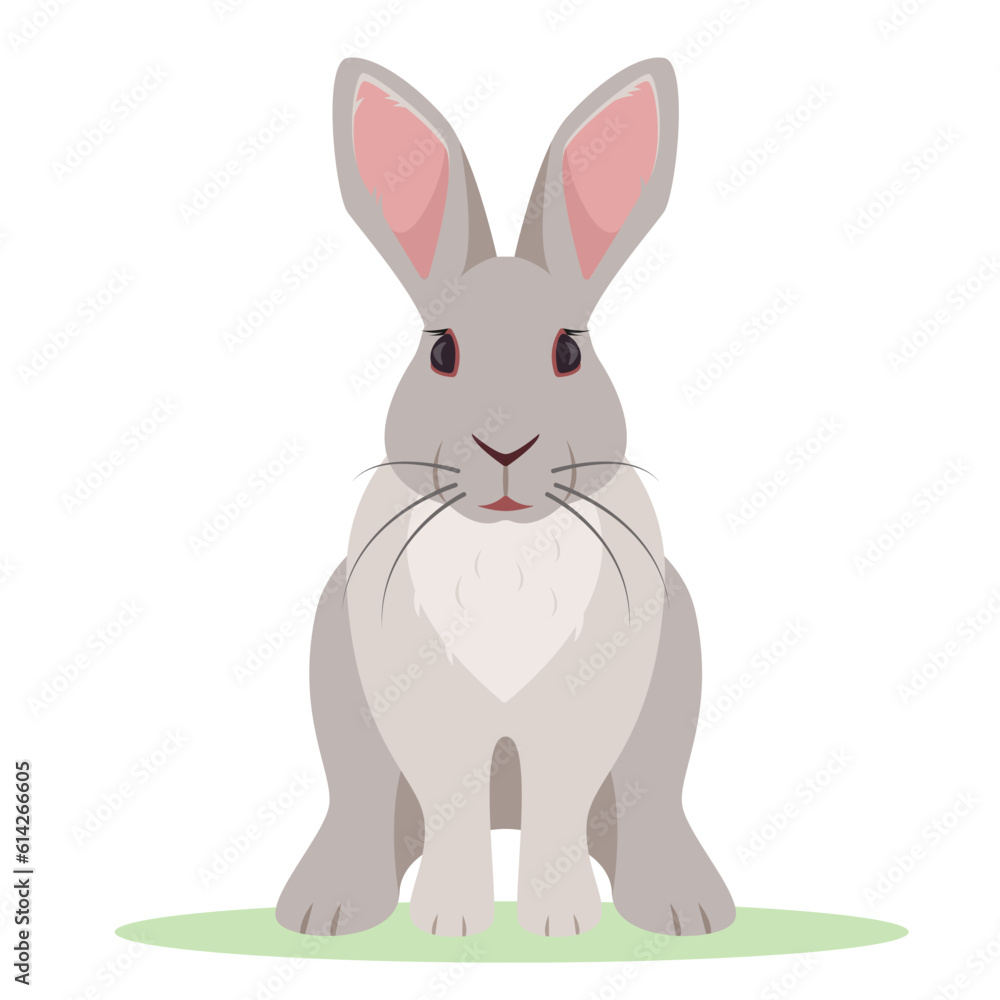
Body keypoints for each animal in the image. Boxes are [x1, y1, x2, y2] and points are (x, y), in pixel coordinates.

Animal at [276, 56, 735, 939]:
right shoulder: (428, 718)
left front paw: (561, 926)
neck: (504, 539)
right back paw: (327, 909)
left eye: (568, 353)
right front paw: (450, 925)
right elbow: (451, 807)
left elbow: (559, 807)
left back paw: (683, 909)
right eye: (442, 353)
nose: (505, 449)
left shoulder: (582, 718)